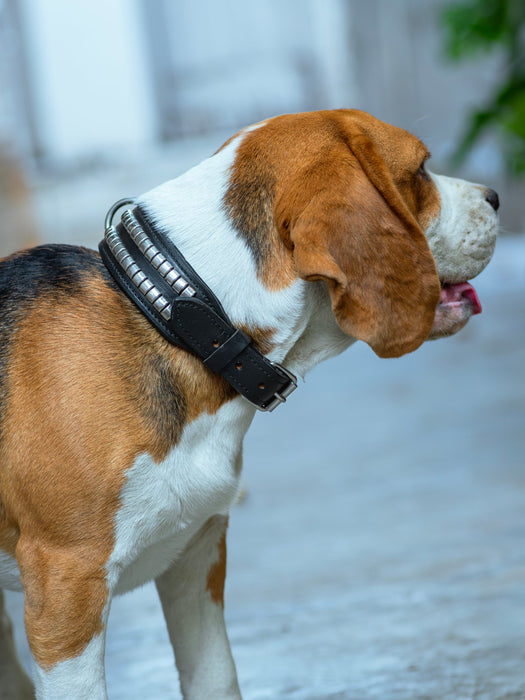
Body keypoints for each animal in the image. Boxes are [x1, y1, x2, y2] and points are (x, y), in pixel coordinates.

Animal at [0, 109, 496, 700]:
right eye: (421, 169)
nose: (495, 197)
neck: (179, 311)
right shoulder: (66, 594)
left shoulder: (196, 557)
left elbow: (217, 676)